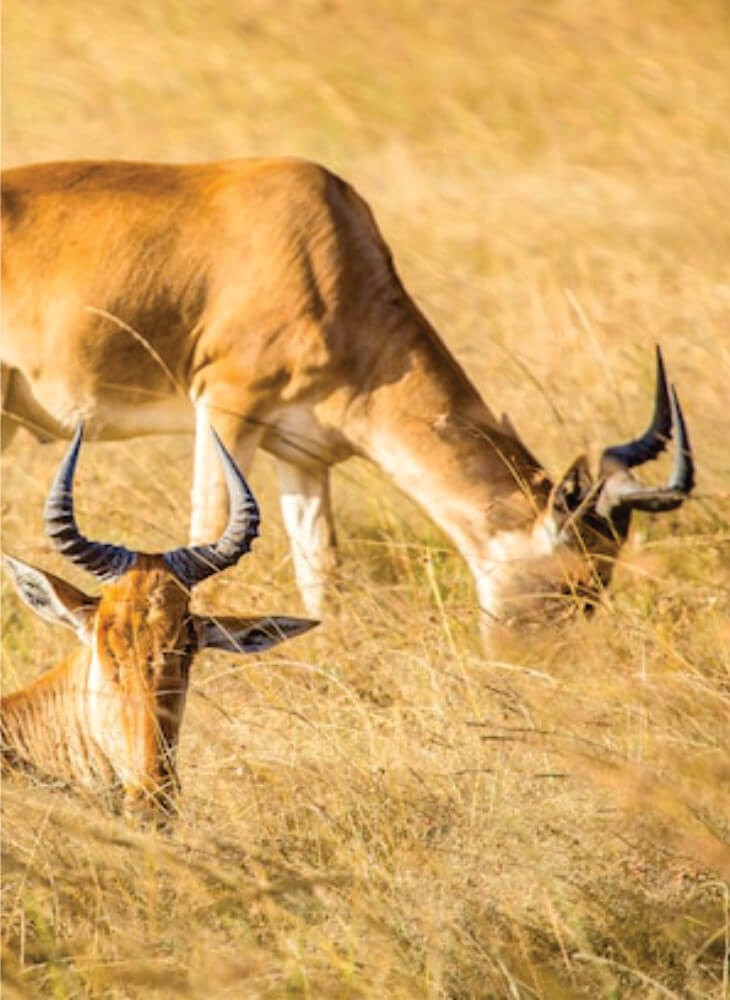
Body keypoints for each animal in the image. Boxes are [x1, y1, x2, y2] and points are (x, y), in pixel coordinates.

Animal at [0, 159, 692, 628]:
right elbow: (209, 533)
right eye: (578, 583)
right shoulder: (226, 405)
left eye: (600, 583)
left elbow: (320, 570)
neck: (323, 246)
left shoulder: (302, 455)